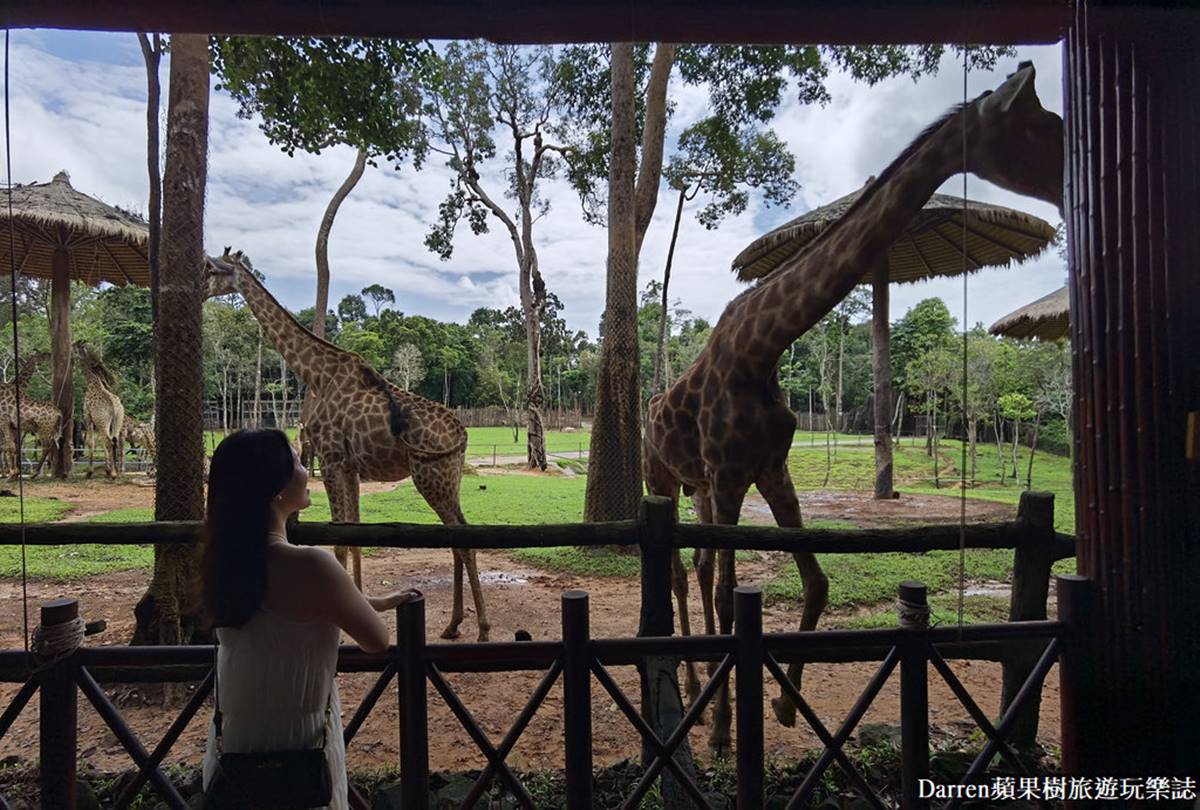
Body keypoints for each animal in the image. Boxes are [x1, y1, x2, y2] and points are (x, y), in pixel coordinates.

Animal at [74, 343, 127, 482]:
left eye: (74, 347)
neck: (91, 383)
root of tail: (114, 408)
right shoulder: (98, 422)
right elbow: (102, 443)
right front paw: (107, 470)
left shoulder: (88, 416)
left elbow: (90, 442)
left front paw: (90, 472)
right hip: (117, 421)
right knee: (114, 441)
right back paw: (116, 472)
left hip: (103, 421)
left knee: (109, 441)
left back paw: (113, 474)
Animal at [201, 250, 492, 643]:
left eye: (211, 268)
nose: (198, 288)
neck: (317, 375)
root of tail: (462, 434)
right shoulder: (350, 465)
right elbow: (354, 534)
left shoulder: (332, 458)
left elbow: (339, 538)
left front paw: (341, 628)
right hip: (449, 479)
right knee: (457, 538)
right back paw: (453, 624)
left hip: (432, 478)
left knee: (465, 541)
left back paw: (483, 629)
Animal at [643, 65, 1065, 758]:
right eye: (1036, 125)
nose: (1070, 178)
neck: (764, 346)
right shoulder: (730, 476)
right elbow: (733, 600)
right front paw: (726, 732)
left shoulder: (770, 471)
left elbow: (813, 581)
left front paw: (784, 706)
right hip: (665, 477)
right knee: (682, 573)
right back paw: (693, 689)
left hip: (699, 487)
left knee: (699, 569)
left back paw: (702, 681)